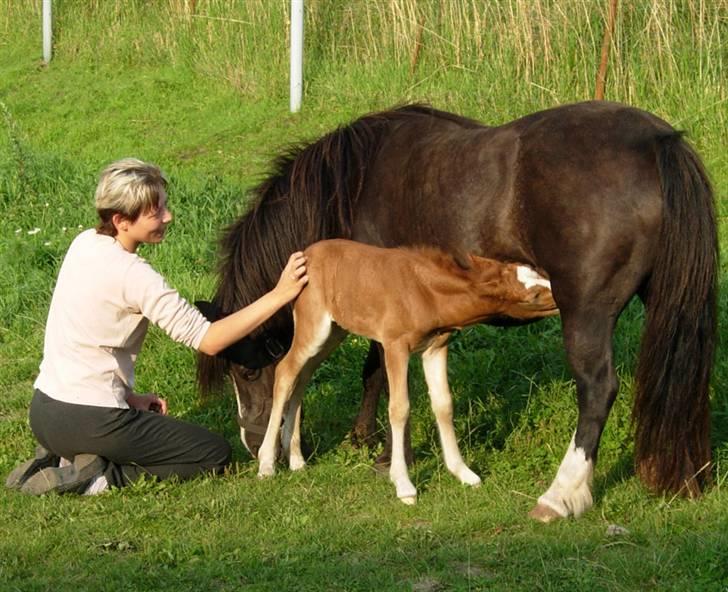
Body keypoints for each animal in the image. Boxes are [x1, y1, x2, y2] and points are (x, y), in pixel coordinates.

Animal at [258, 238, 556, 502]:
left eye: (539, 273)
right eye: (533, 295)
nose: (561, 294)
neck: (426, 294)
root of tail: (305, 254)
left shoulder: (436, 347)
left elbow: (444, 404)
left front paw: (463, 472)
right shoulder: (395, 346)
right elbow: (399, 408)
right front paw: (404, 485)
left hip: (334, 332)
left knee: (302, 377)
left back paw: (296, 459)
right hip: (313, 326)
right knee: (286, 371)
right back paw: (267, 464)